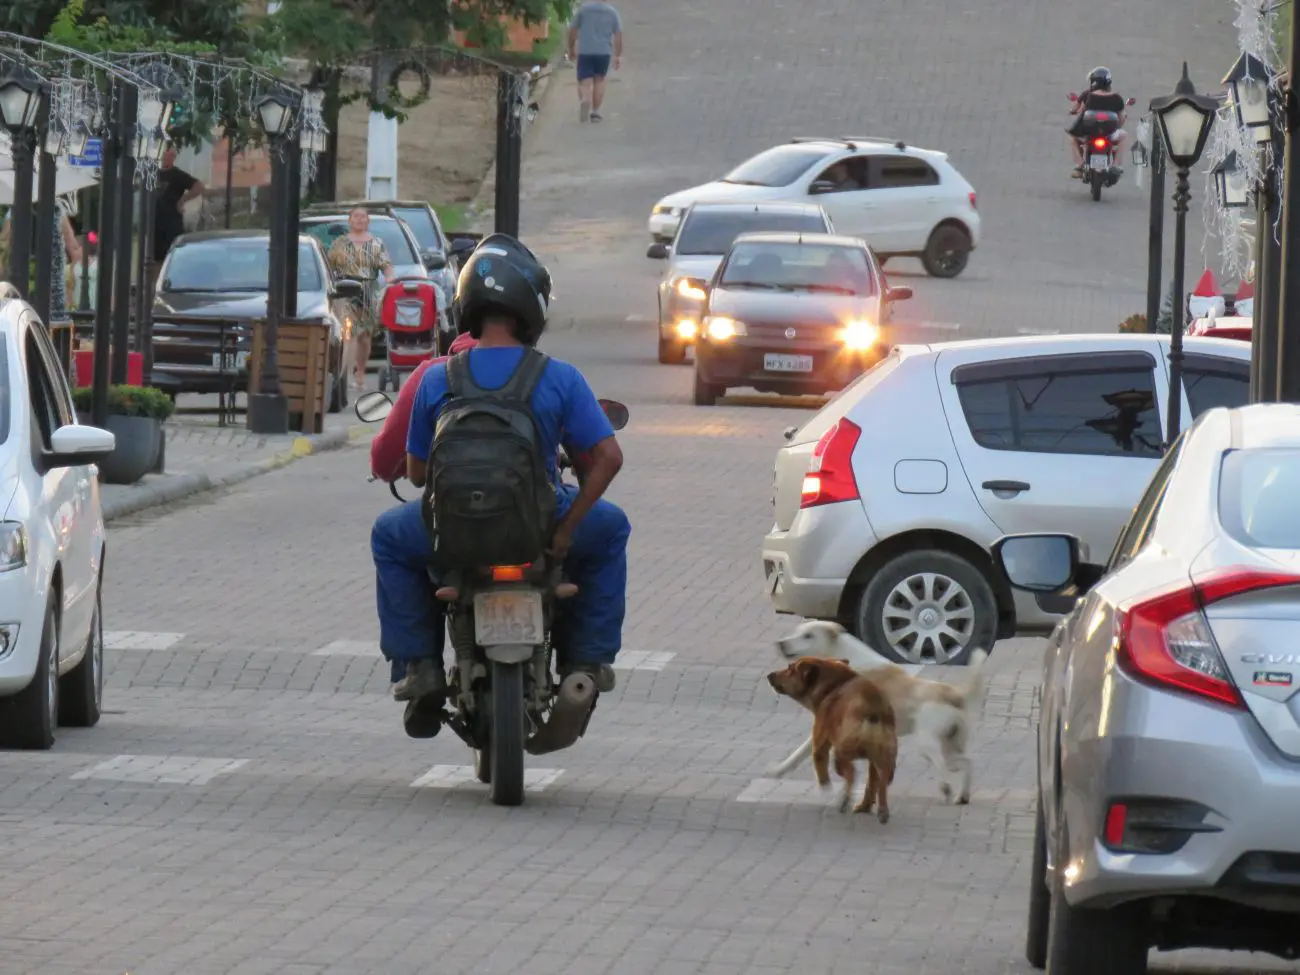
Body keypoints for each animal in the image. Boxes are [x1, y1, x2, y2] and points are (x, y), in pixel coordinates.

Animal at [764, 657, 899, 826]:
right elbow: (873, 783)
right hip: (882, 756)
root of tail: (873, 711)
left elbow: (821, 772)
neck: (835, 684)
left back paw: (845, 799)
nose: (769, 675)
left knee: (851, 772)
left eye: (790, 668)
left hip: (841, 751)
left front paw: (828, 791)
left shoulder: (819, 744)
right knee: (881, 782)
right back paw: (877, 810)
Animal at [769, 621, 982, 806]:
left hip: (928, 744)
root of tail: (954, 693)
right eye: (797, 631)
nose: (781, 643)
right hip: (950, 745)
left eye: (808, 636)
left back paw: (946, 789)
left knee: (944, 766)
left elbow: (803, 752)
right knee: (967, 763)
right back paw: (962, 796)